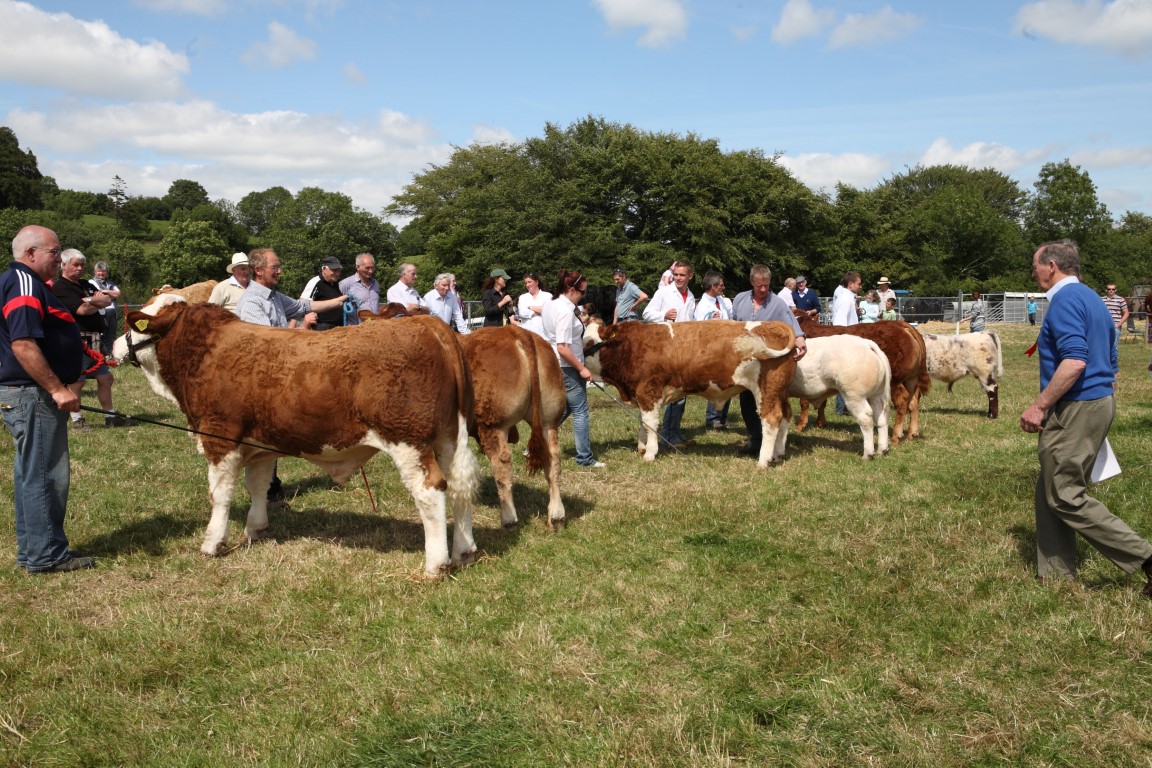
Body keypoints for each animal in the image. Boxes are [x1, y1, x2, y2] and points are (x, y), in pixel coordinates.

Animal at [112, 294, 481, 577]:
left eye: (132, 324)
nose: (114, 346)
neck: (204, 352)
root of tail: (428, 325)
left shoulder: (220, 436)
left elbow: (220, 495)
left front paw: (212, 543)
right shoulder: (259, 444)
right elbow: (257, 486)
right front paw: (256, 529)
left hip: (408, 439)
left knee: (431, 491)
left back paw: (435, 564)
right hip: (448, 437)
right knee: (459, 489)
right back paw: (464, 551)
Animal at [360, 308, 568, 531]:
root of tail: (516, 332)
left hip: (494, 424)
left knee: (502, 462)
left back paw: (509, 518)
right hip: (548, 420)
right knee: (553, 458)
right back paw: (556, 516)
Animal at [582, 319, 797, 469]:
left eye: (589, 342)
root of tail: (773, 325)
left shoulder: (648, 391)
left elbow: (650, 424)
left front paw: (650, 453)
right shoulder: (642, 396)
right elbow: (643, 422)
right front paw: (641, 447)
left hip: (766, 390)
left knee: (771, 420)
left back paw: (763, 461)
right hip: (780, 391)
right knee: (784, 417)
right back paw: (778, 455)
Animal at [795, 317, 930, 443]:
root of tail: (900, 324)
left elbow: (804, 402)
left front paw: (800, 426)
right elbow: (822, 403)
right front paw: (821, 423)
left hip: (894, 381)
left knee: (902, 401)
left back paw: (896, 436)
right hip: (911, 380)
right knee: (914, 402)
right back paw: (912, 434)